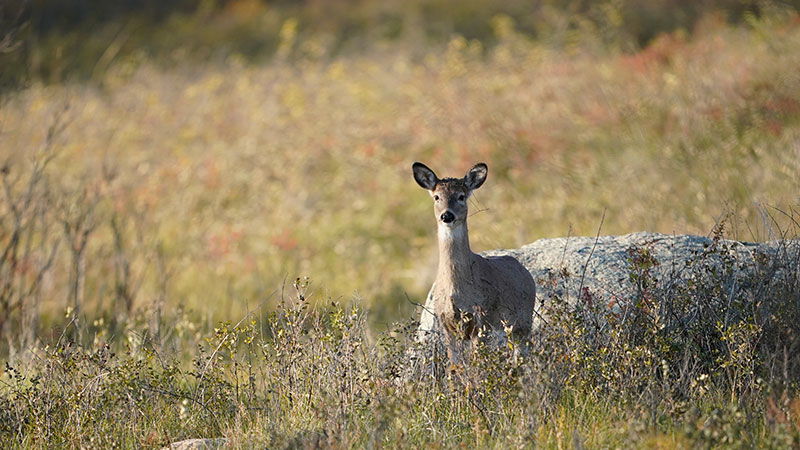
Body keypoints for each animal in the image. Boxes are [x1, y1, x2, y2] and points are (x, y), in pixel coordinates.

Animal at [412, 162, 537, 364]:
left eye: (461, 196)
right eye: (437, 197)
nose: (447, 216)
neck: (457, 290)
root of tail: (525, 271)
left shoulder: (482, 319)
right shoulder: (446, 323)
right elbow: (454, 365)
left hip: (523, 322)